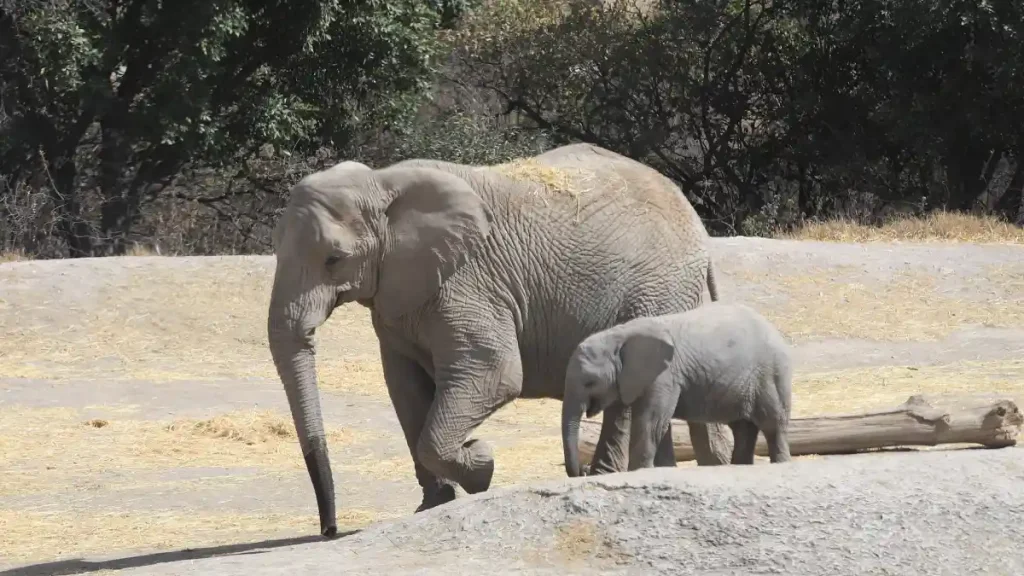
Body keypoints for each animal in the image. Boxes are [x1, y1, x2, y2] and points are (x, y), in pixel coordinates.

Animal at [266, 143, 731, 537]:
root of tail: (698, 228)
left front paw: (482, 464)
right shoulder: (398, 297)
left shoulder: (468, 282)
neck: (381, 184)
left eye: (334, 260)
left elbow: (495, 373)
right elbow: (405, 388)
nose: (329, 529)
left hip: (656, 288)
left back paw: (606, 477)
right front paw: (433, 506)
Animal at [561, 301, 794, 477]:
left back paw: (781, 462)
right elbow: (659, 424)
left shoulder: (665, 376)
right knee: (743, 429)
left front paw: (639, 471)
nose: (583, 470)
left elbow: (650, 421)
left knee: (772, 425)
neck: (618, 335)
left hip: (771, 375)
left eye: (590, 382)